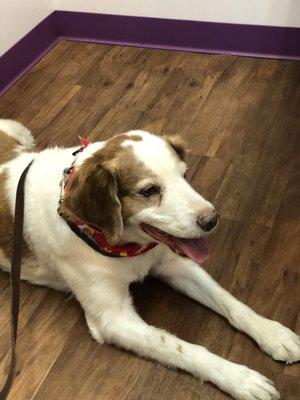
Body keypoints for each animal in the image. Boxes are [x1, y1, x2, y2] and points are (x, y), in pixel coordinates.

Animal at [0, 119, 298, 400]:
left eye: (185, 175)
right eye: (148, 191)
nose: (212, 220)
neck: (123, 246)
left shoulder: (173, 264)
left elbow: (229, 301)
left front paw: (273, 333)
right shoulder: (113, 318)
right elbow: (180, 347)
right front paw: (240, 378)